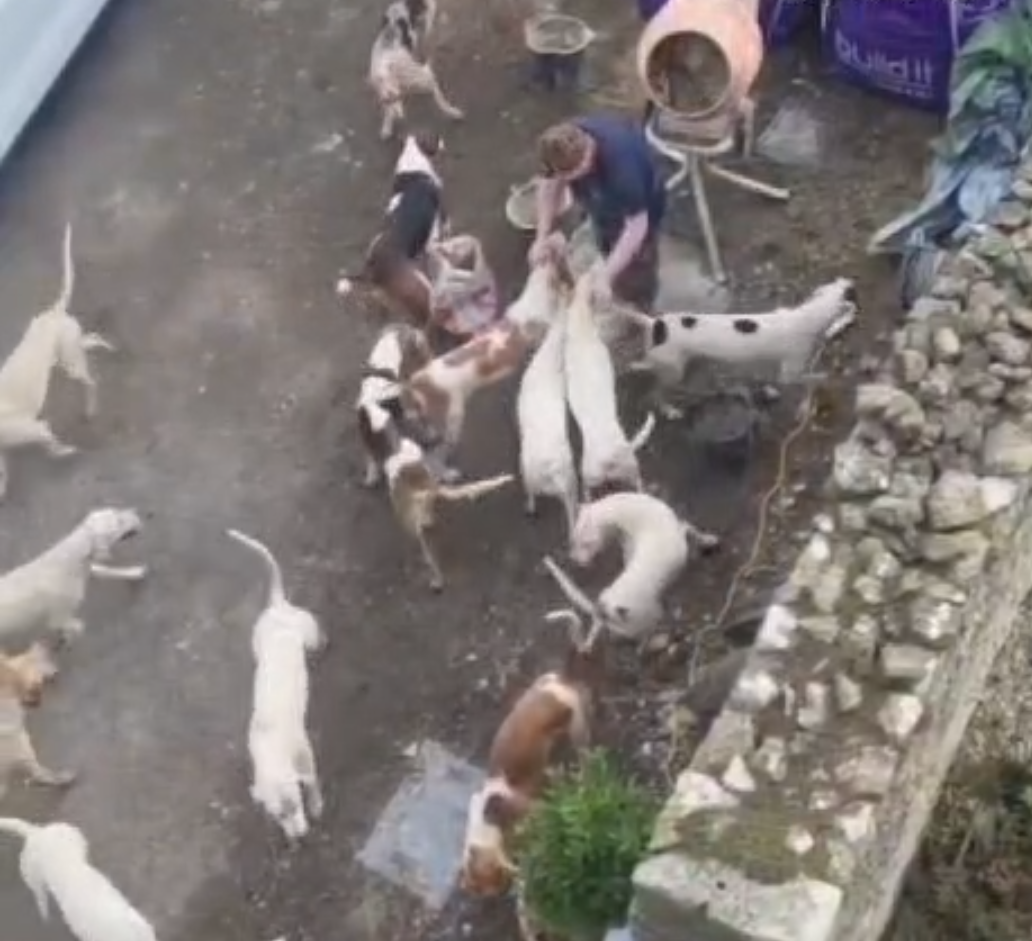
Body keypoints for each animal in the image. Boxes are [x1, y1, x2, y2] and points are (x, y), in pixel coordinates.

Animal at [0, 224, 115, 499]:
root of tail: (53, 312)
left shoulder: (37, 428)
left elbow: (52, 446)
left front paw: (63, 452)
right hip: (68, 353)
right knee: (91, 339)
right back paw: (107, 346)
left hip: (71, 364)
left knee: (91, 382)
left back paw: (90, 408)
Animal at [0, 508, 145, 646]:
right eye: (119, 521)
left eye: (115, 511)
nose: (135, 511)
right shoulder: (59, 617)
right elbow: (75, 627)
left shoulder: (86, 569)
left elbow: (107, 570)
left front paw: (135, 572)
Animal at [227, 529, 325, 843]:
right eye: (278, 816)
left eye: (296, 804)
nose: (300, 837)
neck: (271, 750)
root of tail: (277, 606)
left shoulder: (305, 757)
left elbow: (313, 781)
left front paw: (317, 805)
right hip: (257, 642)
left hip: (307, 630)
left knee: (316, 636)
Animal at [368, 0, 462, 140]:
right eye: (388, 99)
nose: (386, 98)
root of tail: (401, 3)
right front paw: (387, 126)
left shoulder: (425, 78)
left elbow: (439, 98)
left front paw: (452, 112)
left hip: (426, 24)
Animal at [625, 278, 859, 418]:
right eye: (849, 291)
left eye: (838, 282)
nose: (849, 280)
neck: (809, 316)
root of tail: (654, 324)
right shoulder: (789, 375)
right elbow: (816, 378)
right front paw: (816, 391)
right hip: (673, 372)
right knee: (655, 393)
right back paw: (670, 410)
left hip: (691, 364)